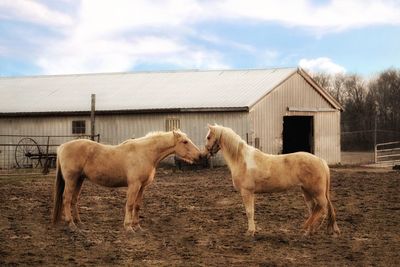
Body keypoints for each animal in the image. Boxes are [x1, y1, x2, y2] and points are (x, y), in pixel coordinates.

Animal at [52, 130, 202, 232]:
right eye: (185, 142)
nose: (200, 156)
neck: (145, 153)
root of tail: (62, 147)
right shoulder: (134, 185)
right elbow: (129, 204)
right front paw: (129, 227)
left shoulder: (142, 187)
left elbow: (137, 205)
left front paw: (138, 227)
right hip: (71, 179)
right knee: (66, 199)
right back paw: (71, 224)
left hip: (79, 180)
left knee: (74, 200)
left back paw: (79, 223)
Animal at [205, 124, 340, 238]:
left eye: (208, 137)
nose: (206, 153)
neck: (242, 160)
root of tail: (320, 161)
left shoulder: (247, 192)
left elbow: (249, 212)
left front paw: (250, 232)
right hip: (306, 191)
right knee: (314, 209)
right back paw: (309, 231)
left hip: (316, 192)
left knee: (322, 207)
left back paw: (311, 229)